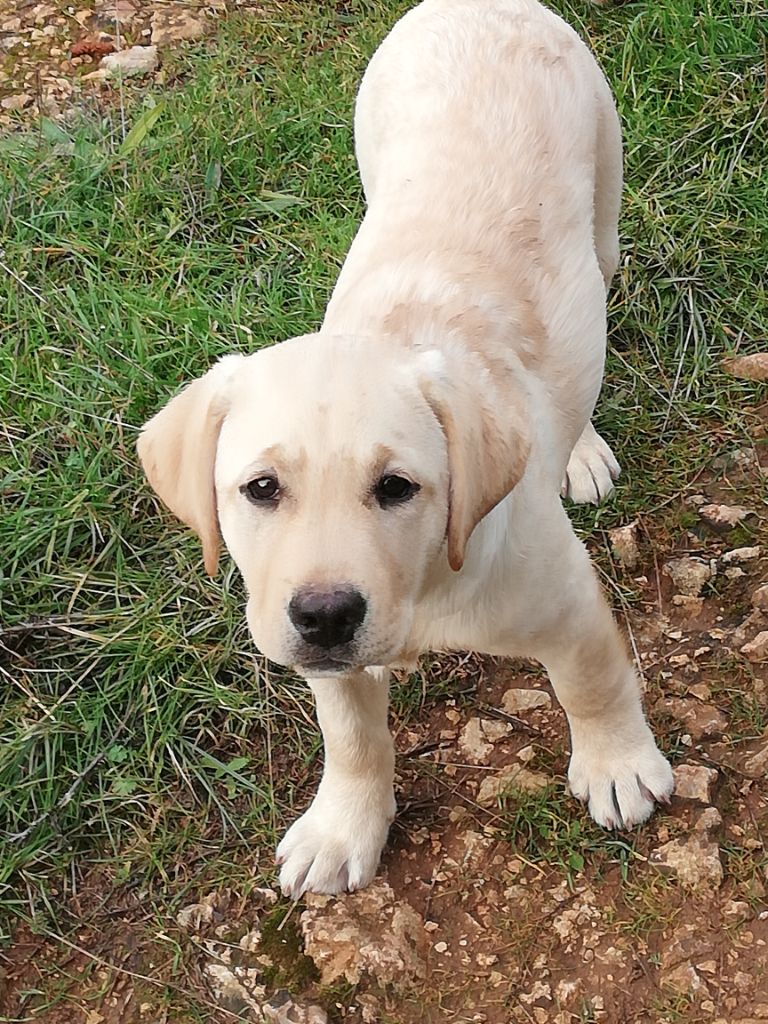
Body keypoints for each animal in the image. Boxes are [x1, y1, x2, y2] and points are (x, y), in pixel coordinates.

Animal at [137, 0, 671, 897]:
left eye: (396, 487)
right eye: (260, 489)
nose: (325, 614)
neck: (426, 581)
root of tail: (479, 5)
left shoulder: (564, 602)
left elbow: (593, 681)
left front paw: (618, 766)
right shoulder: (330, 664)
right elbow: (351, 733)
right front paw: (343, 825)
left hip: (605, 181)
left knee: (593, 320)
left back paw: (580, 450)